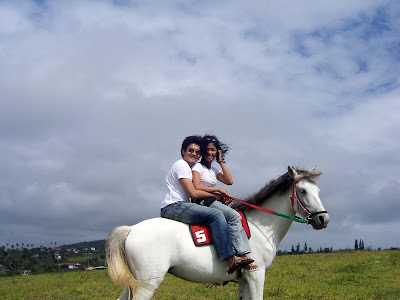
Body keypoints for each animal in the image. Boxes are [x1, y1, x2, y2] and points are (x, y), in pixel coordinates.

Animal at [105, 166, 328, 300]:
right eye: (303, 191)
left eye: (318, 191)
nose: (323, 219)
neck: (260, 227)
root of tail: (131, 229)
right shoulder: (256, 275)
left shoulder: (244, 280)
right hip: (147, 284)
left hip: (135, 283)